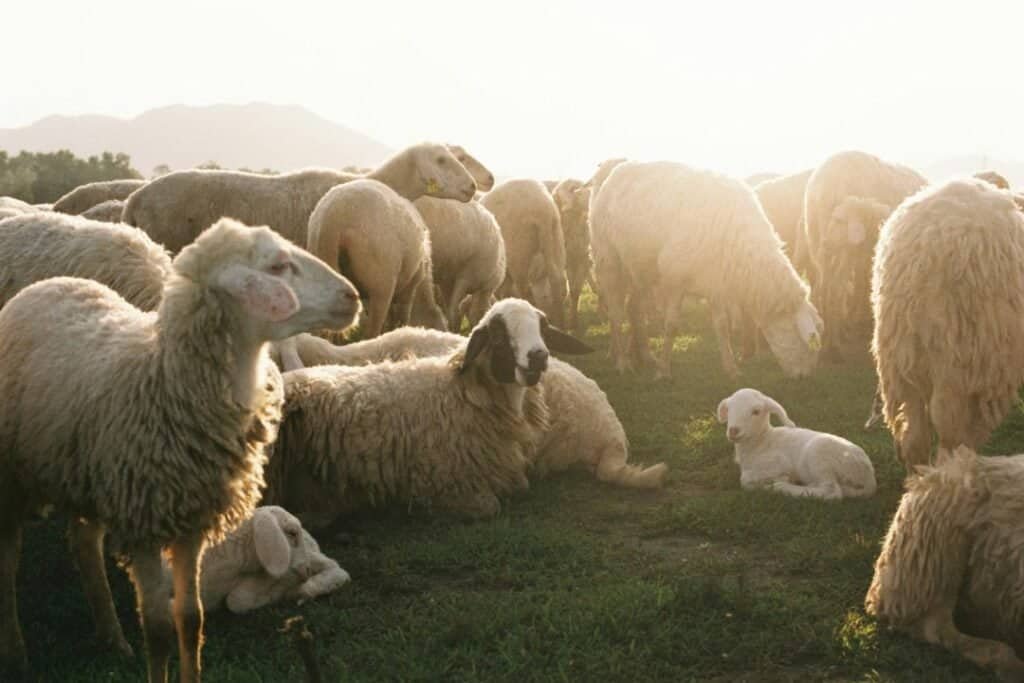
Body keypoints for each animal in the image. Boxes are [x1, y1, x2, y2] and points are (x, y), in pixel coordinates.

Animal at [262, 299, 595, 528]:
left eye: (543, 328)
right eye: (499, 334)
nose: (538, 357)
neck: (462, 389)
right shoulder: (447, 479)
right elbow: (489, 506)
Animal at [481, 179, 568, 327]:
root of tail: (542, 209)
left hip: (519, 252)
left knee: (525, 290)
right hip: (555, 239)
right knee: (558, 281)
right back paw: (561, 323)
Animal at [590, 160, 822, 379]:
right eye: (806, 341)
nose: (804, 376)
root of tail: (618, 170)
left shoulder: (716, 283)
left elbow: (722, 326)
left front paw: (731, 369)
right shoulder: (675, 280)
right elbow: (671, 325)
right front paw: (664, 371)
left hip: (640, 269)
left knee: (635, 310)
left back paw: (644, 357)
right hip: (609, 260)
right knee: (616, 314)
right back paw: (622, 361)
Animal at [717, 388, 876, 499]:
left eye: (756, 411)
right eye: (729, 409)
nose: (733, 430)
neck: (763, 440)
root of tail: (870, 478)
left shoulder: (780, 463)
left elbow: (745, 480)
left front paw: (780, 479)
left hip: (819, 455)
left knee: (832, 492)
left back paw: (782, 486)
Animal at [803, 151, 927, 361]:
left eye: (839, 221)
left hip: (821, 249)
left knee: (823, 288)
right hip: (839, 252)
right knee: (835, 291)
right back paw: (834, 345)